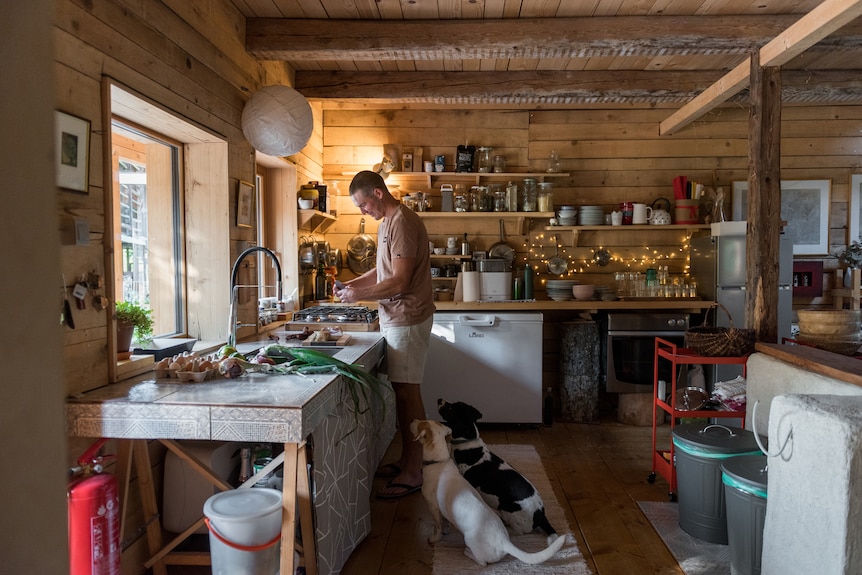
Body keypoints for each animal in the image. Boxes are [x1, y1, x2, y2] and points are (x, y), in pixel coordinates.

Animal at [412, 418, 568, 568]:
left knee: (484, 562)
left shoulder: (433, 506)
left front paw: (435, 538)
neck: (439, 461)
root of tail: (504, 543)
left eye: (420, 423)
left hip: (482, 530)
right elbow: (444, 522)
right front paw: (446, 529)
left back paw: (468, 553)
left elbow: (437, 525)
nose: (413, 420)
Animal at [438, 398, 560, 544]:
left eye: (451, 408)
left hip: (507, 508)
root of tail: (541, 515)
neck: (467, 443)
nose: (439, 399)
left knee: (519, 532)